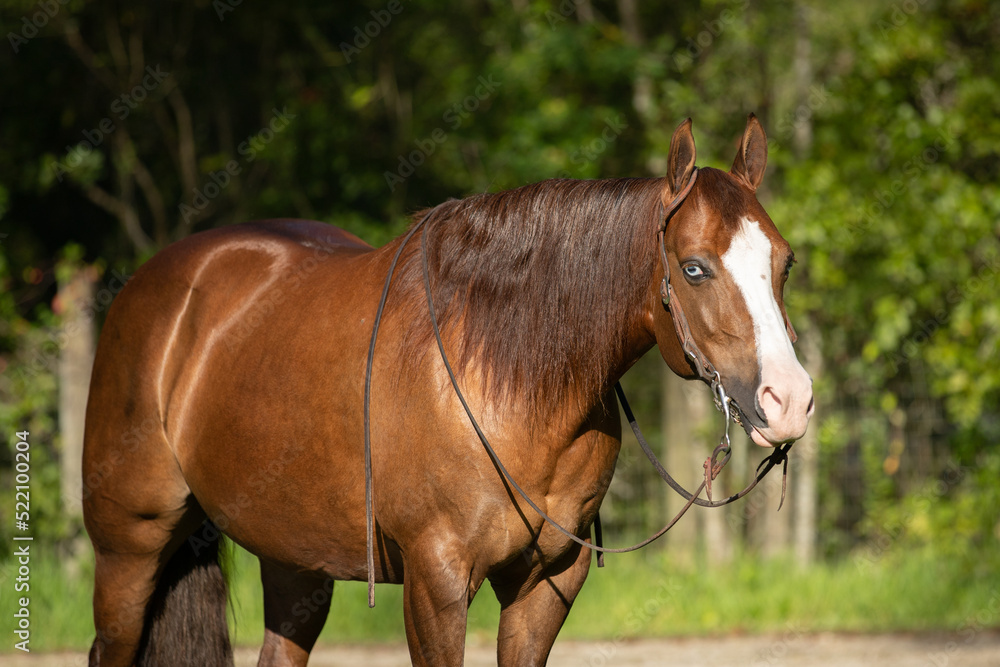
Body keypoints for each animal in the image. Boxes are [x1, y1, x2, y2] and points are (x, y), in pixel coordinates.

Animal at [84, 113, 812, 664]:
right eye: (693, 268)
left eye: (785, 262)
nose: (790, 400)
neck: (507, 380)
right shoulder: (435, 580)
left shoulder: (547, 583)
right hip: (129, 549)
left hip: (294, 560)